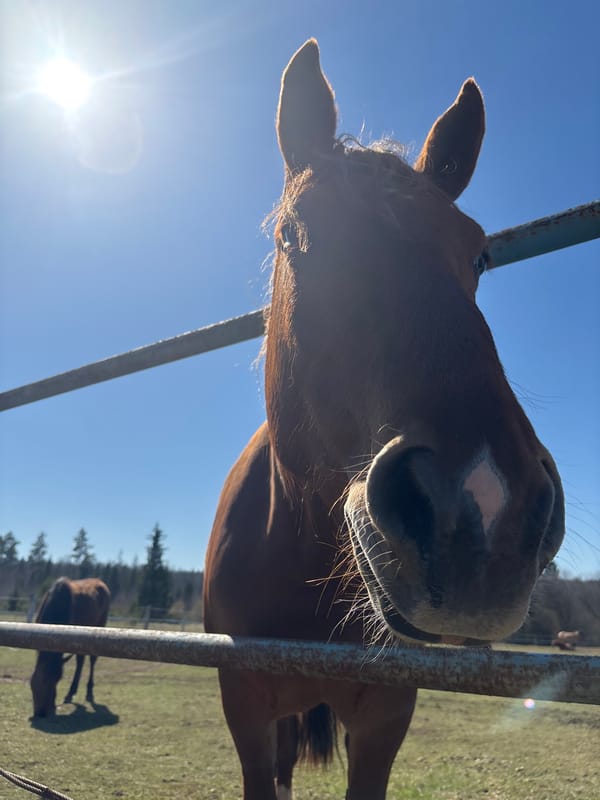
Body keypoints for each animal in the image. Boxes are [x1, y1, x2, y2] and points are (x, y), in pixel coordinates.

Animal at [30, 577, 111, 717]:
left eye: (55, 680)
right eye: (32, 683)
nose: (40, 712)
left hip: (100, 624)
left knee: (92, 660)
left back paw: (88, 692)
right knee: (80, 661)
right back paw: (71, 692)